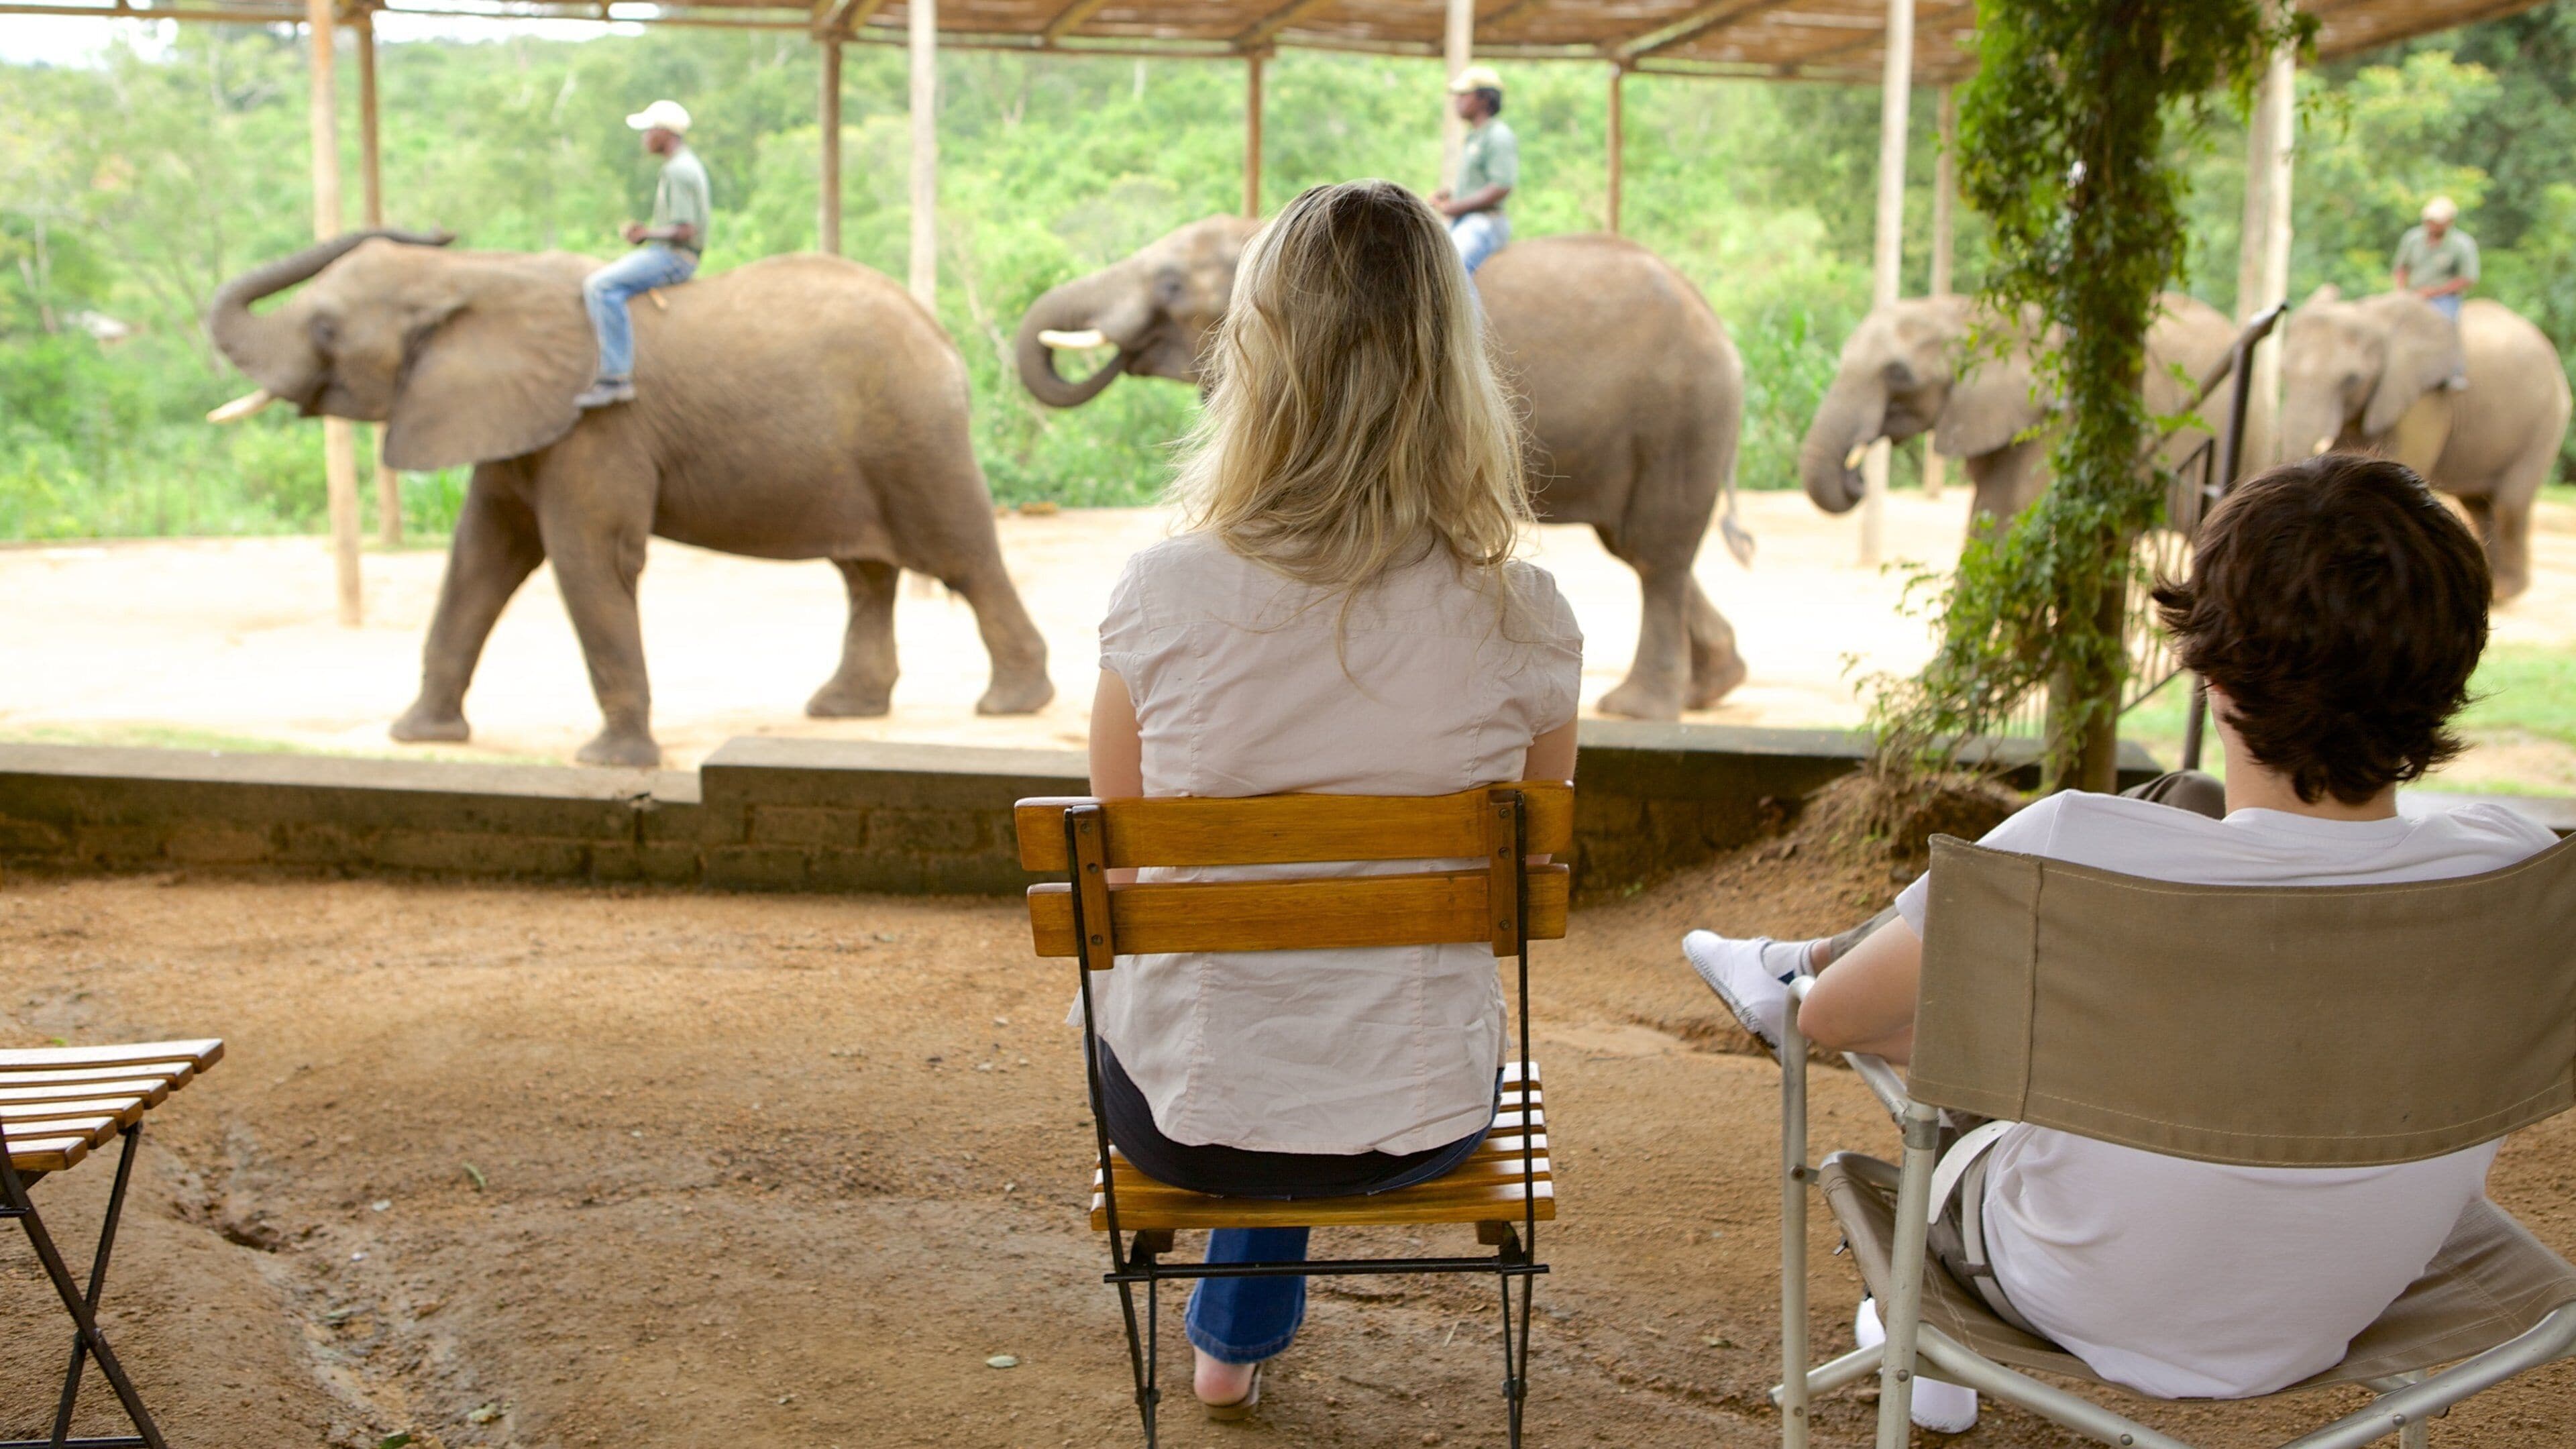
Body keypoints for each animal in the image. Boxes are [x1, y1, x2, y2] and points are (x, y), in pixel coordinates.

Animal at [205, 229, 1052, 768]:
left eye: (324, 329)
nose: (434, 228)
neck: (475, 276)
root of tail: (943, 338)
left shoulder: (598, 424)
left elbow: (587, 559)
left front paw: (612, 763)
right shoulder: (518, 420)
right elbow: (480, 557)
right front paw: (417, 738)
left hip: (914, 434)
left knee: (963, 558)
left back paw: (1011, 706)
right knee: (866, 574)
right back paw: (843, 710)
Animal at [1017, 216, 1749, 720]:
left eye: (1170, 284)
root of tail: (1721, 328)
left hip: (1679, 412)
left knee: (1655, 552)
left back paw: (1638, 709)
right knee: (1640, 546)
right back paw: (1711, 689)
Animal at [1800, 292, 2236, 534]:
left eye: (1899, 374)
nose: (1857, 478)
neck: (1964, 309)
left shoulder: (2060, 422)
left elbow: (2017, 517)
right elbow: (1987, 518)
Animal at [2277, 288, 2570, 601]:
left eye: (2351, 380)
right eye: (2284, 374)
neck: (2370, 315)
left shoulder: (2425, 398)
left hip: (2546, 419)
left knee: (2509, 503)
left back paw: (2506, 592)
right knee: (2479, 506)